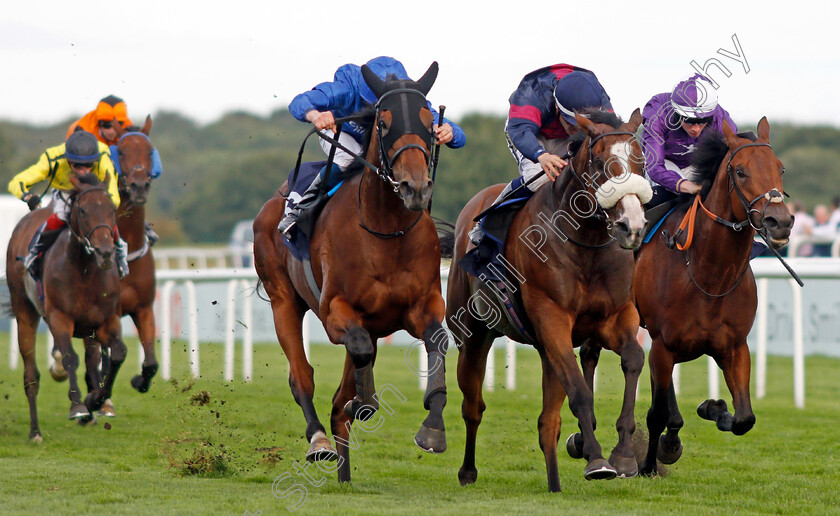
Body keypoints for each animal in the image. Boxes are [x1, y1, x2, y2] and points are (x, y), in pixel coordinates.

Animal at [5, 171, 127, 442]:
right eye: (82, 210)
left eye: (111, 209)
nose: (105, 252)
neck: (85, 271)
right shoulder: (59, 317)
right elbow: (70, 358)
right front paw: (78, 406)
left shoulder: (106, 320)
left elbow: (117, 353)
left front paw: (96, 400)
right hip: (24, 311)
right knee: (31, 376)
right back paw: (35, 432)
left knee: (92, 359)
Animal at [254, 62, 452, 482]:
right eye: (384, 120)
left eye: (430, 120)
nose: (415, 188)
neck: (386, 231)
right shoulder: (336, 313)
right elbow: (357, 354)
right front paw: (363, 405)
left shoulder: (422, 306)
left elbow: (437, 341)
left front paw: (433, 428)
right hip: (283, 300)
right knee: (302, 376)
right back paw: (320, 442)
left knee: (338, 397)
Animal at [450, 110, 652, 492]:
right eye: (600, 163)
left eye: (641, 162)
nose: (630, 226)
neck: (586, 245)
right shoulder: (552, 318)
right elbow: (580, 391)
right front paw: (597, 459)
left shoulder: (615, 316)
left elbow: (633, 359)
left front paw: (623, 454)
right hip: (473, 334)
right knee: (472, 406)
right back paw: (461, 465)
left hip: (544, 350)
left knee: (548, 422)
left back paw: (555, 482)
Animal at [636, 118, 796, 476]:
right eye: (740, 171)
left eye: (780, 168)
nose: (779, 222)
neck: (708, 272)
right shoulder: (663, 344)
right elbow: (656, 413)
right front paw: (649, 464)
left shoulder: (734, 347)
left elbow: (744, 418)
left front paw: (713, 406)